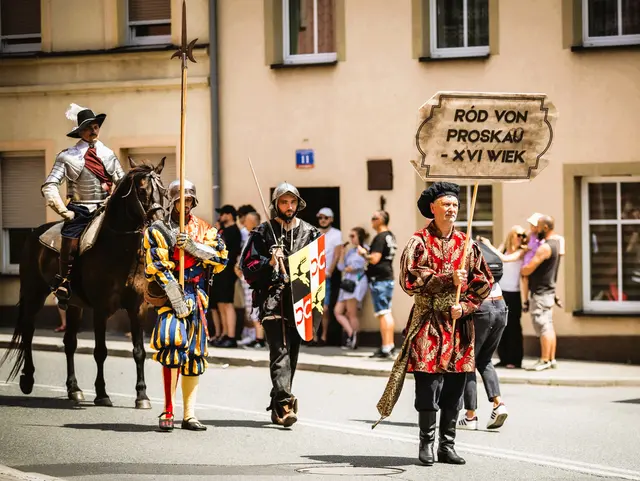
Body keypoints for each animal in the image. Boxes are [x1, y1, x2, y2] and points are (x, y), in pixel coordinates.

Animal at [1, 157, 166, 409]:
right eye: (141, 190)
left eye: (163, 191)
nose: (159, 222)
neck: (119, 248)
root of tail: (34, 234)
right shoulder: (100, 309)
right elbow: (100, 351)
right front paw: (102, 393)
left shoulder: (137, 308)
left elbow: (139, 351)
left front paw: (142, 396)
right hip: (33, 293)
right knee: (28, 332)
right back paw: (27, 379)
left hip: (73, 305)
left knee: (69, 342)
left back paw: (74, 389)